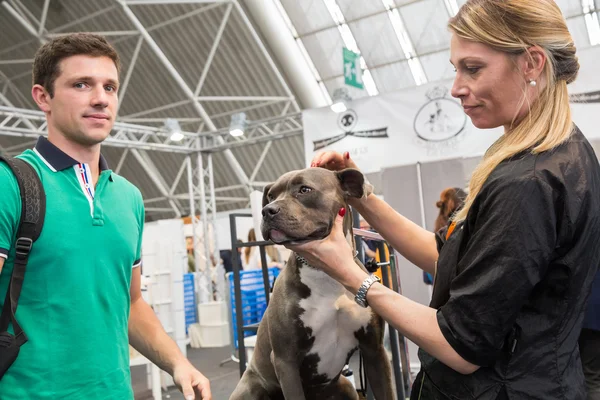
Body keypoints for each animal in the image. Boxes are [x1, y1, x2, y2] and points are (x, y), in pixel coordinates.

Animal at [230, 167, 394, 398]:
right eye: (270, 195)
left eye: (304, 189)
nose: (267, 210)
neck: (325, 275)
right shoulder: (285, 361)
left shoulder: (374, 351)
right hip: (251, 389)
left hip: (346, 386)